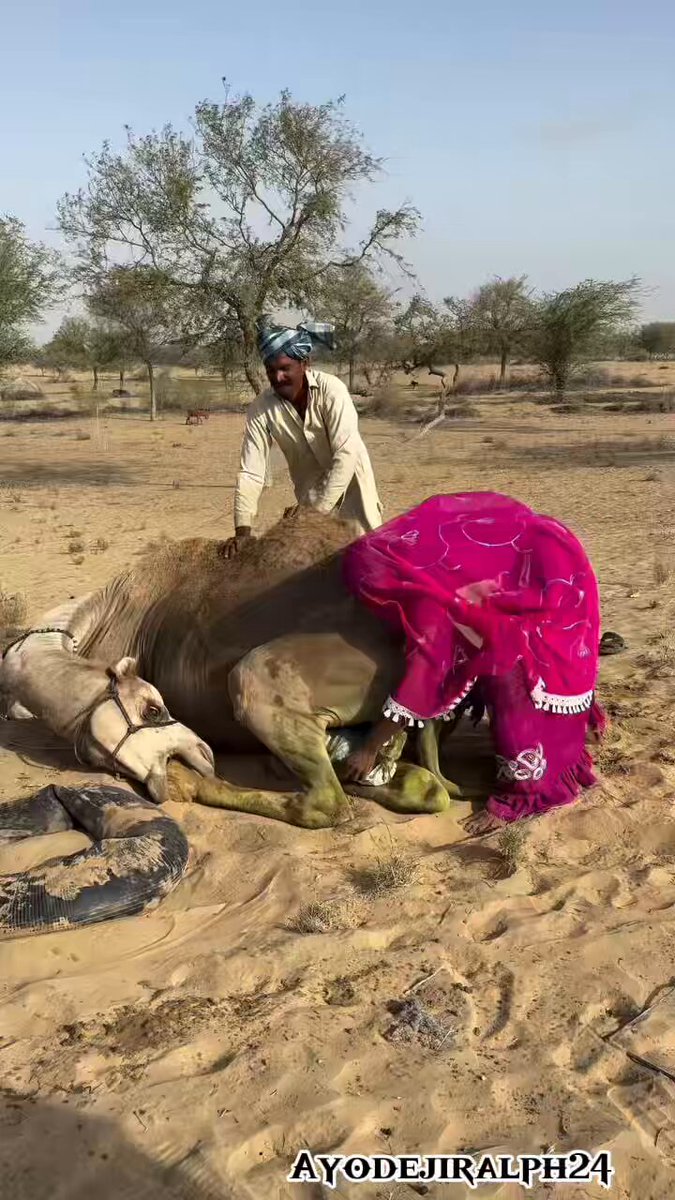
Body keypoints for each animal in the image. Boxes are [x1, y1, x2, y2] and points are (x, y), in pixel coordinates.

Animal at [0, 512, 461, 829]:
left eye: (153, 708)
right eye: (95, 759)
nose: (200, 754)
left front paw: (187, 779)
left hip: (288, 674)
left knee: (323, 803)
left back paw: (197, 783)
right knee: (425, 787)